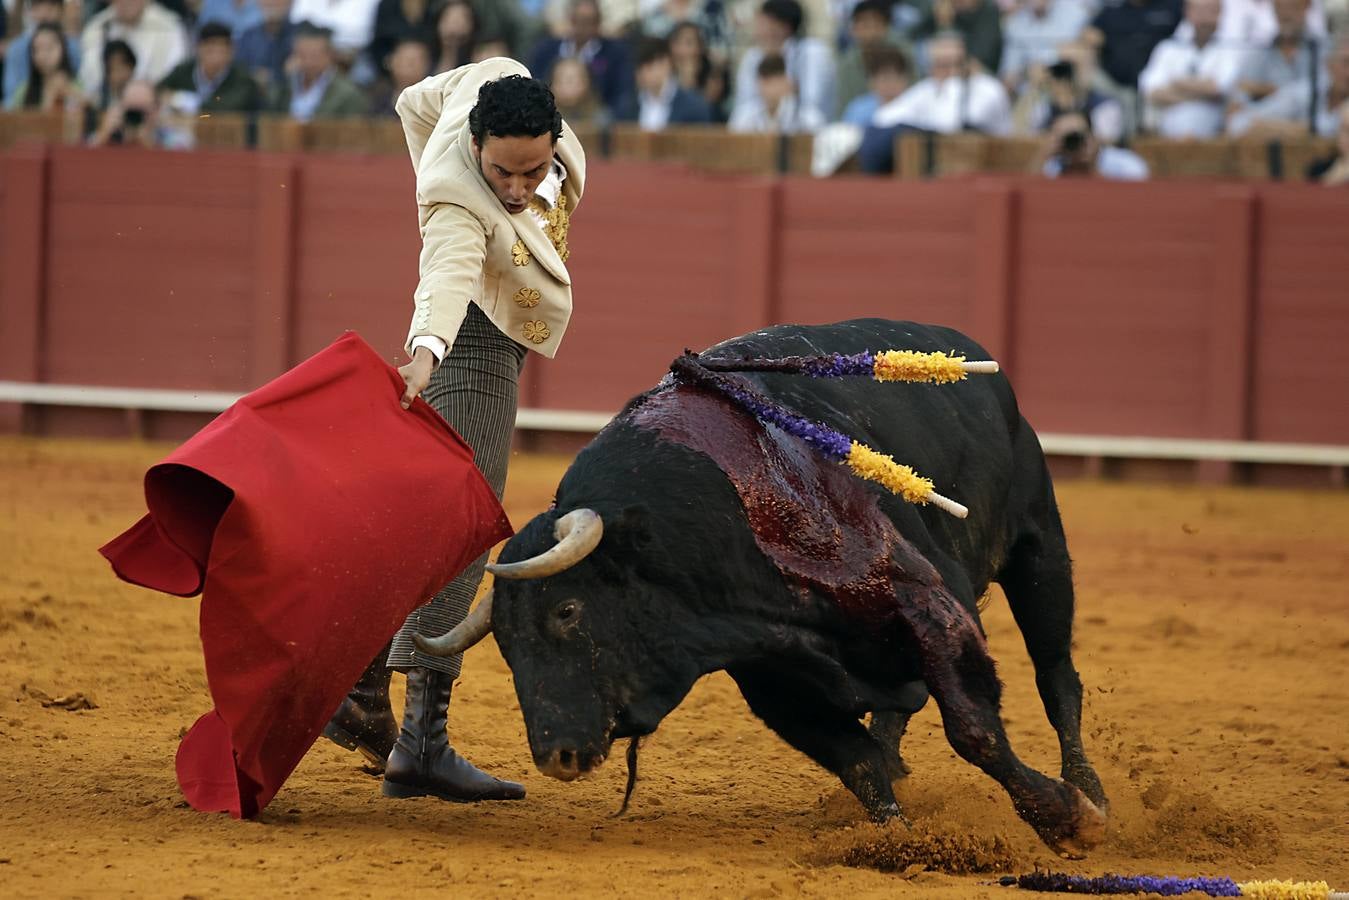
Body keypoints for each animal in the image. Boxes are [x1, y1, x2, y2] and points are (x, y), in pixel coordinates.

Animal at [418, 318, 1106, 858]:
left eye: (567, 610)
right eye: (505, 644)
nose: (555, 756)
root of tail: (969, 352)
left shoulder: (927, 605)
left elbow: (974, 730)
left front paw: (1067, 819)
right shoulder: (772, 676)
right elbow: (857, 761)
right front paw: (899, 841)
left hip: (1040, 548)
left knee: (1056, 678)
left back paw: (1090, 789)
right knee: (896, 718)